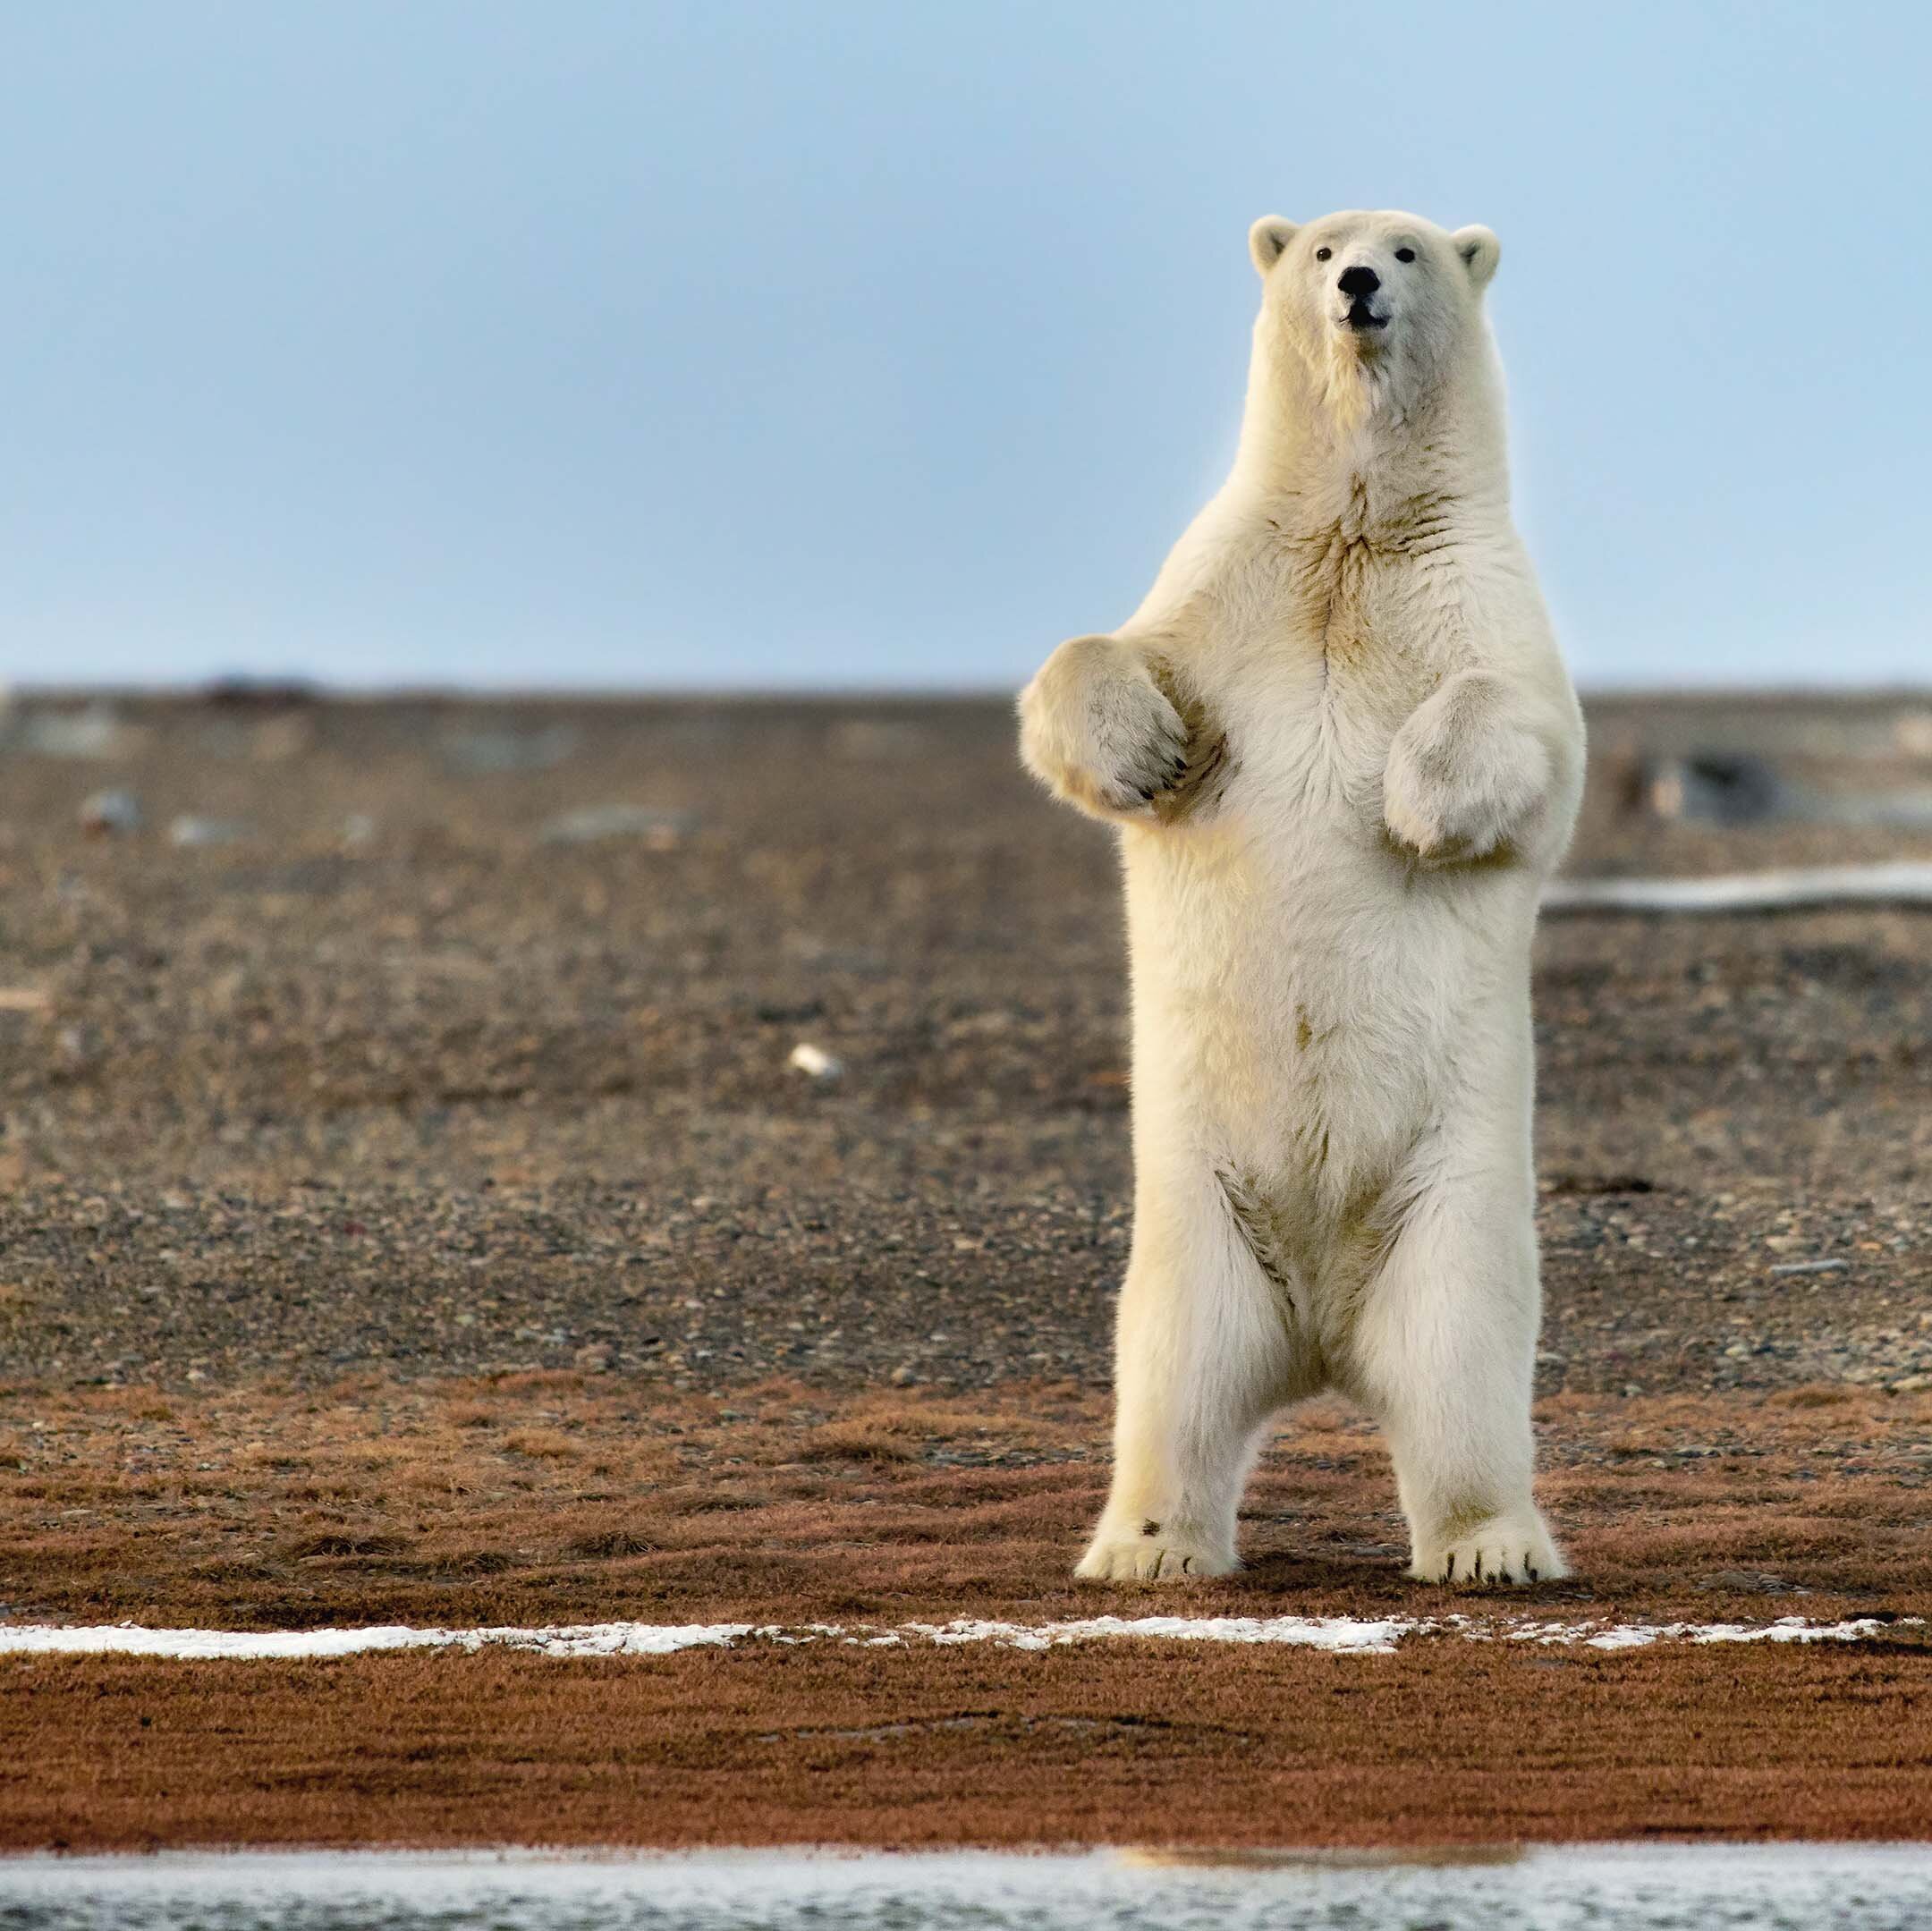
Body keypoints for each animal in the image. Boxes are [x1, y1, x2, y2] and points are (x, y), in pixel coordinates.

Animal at [1020, 207, 1576, 1583]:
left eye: (1414, 249)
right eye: (1323, 248)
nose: (1362, 282)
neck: (1355, 525)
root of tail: (1324, 1338)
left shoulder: (1478, 596)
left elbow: (1523, 726)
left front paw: (1416, 804)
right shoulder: (1226, 584)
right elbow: (1106, 658)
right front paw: (1150, 754)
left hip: (1449, 1208)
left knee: (1461, 1369)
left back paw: (1490, 1543)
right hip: (1197, 1218)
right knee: (1172, 1374)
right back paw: (1147, 1544)